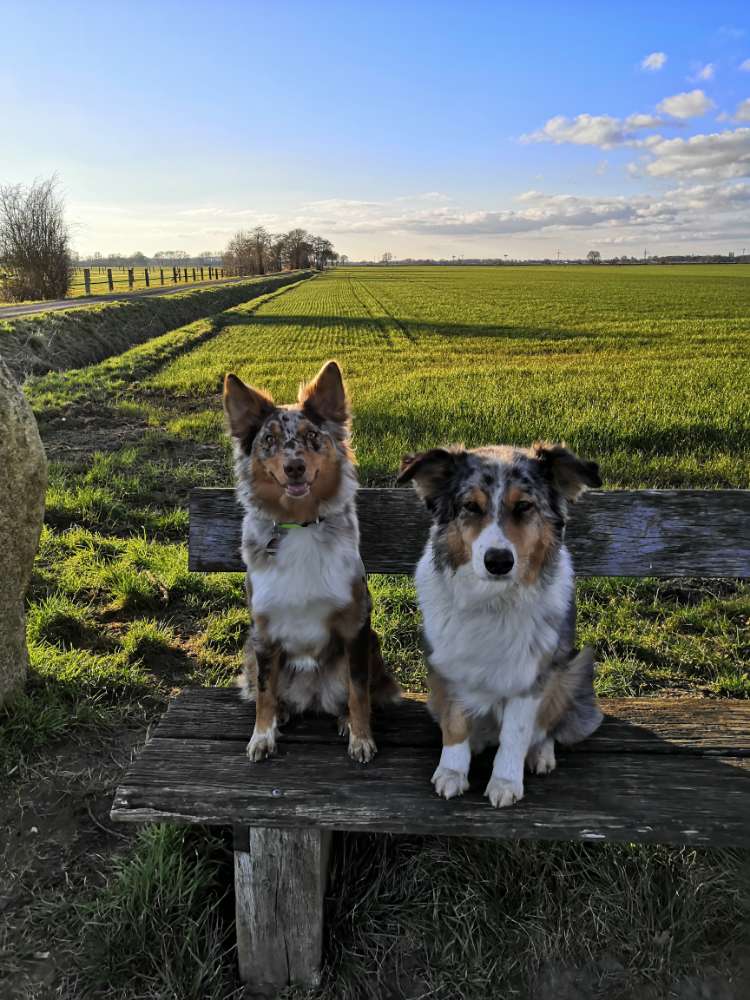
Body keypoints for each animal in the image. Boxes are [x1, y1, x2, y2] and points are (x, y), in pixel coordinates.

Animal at [223, 364, 400, 760]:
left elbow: (359, 692)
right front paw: (262, 736)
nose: (294, 467)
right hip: (250, 648)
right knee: (271, 690)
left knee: (353, 693)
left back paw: (344, 719)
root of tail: (313, 697)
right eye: (269, 439)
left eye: (312, 436)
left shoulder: (354, 625)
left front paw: (361, 738)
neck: (299, 522)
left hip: (371, 645)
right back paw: (283, 713)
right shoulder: (263, 630)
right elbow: (263, 692)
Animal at [400, 442, 604, 808]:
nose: (498, 561)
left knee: (546, 727)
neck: (493, 601)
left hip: (573, 668)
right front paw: (452, 772)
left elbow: (517, 734)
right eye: (471, 506)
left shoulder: (532, 676)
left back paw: (541, 754)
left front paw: (506, 782)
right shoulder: (450, 668)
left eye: (524, 506)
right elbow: (455, 724)